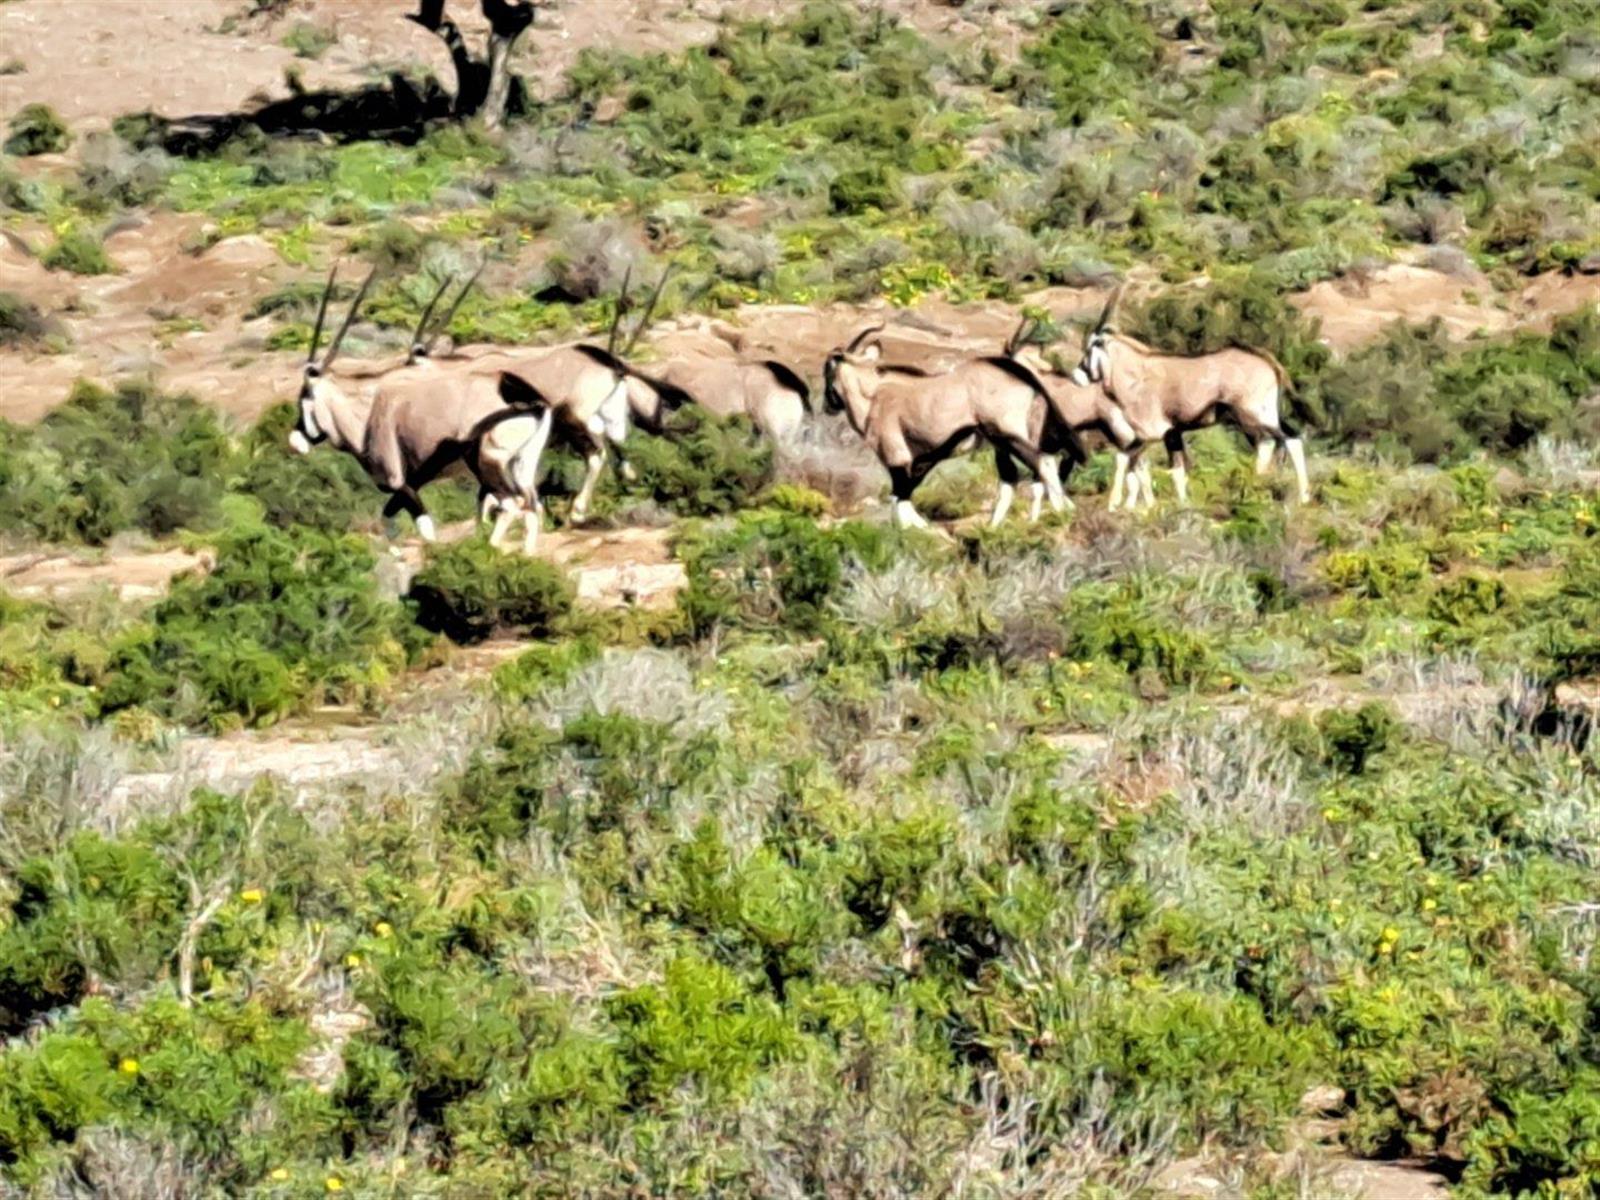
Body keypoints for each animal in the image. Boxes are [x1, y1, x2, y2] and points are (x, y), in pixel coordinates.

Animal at [288, 265, 556, 553]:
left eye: (303, 397)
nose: (295, 441)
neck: (367, 414)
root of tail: (524, 396)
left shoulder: (400, 482)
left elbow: (423, 526)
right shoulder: (415, 481)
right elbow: (389, 520)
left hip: (486, 462)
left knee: (511, 505)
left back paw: (490, 549)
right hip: (522, 465)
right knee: (531, 506)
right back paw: (525, 555)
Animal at [824, 326, 1085, 529]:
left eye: (828, 369)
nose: (828, 405)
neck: (874, 396)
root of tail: (1023, 376)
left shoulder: (897, 458)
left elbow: (900, 498)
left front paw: (911, 531)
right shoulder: (923, 460)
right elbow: (903, 496)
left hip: (1009, 437)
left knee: (1043, 463)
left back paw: (1058, 514)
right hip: (1001, 444)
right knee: (1015, 476)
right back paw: (994, 527)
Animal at [1071, 287, 1311, 507]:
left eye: (1090, 349)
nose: (1076, 376)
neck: (1135, 372)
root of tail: (1268, 362)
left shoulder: (1150, 434)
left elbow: (1124, 459)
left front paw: (1114, 504)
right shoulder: (1172, 434)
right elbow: (1175, 472)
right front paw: (1180, 505)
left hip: (1255, 415)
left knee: (1291, 439)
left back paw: (1304, 497)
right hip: (1254, 420)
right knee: (1268, 444)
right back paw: (1257, 486)